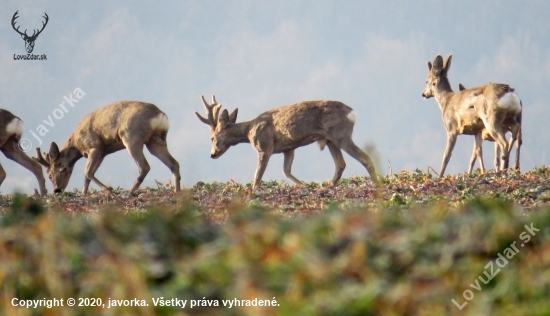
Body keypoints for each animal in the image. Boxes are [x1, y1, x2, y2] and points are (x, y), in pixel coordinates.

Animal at [33, 101, 181, 195]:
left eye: (50, 175)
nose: (57, 190)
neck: (77, 144)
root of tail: (161, 115)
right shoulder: (103, 152)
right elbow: (89, 174)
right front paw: (84, 193)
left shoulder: (95, 147)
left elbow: (88, 172)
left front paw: (108, 190)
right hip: (156, 141)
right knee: (174, 163)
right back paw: (177, 190)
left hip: (131, 138)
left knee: (144, 166)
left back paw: (130, 191)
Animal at [196, 95, 382, 189]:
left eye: (212, 138)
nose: (212, 154)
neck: (249, 131)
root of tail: (351, 112)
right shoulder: (289, 148)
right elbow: (286, 171)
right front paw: (303, 185)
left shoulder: (265, 147)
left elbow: (257, 177)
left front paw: (253, 193)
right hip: (331, 140)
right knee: (340, 164)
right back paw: (327, 186)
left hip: (341, 135)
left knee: (364, 158)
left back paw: (377, 184)